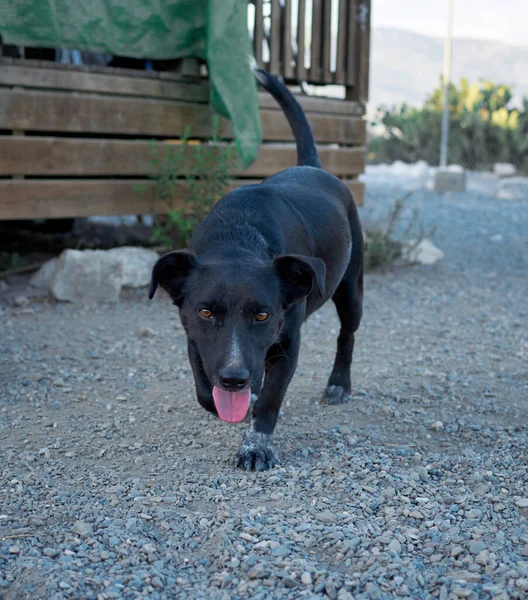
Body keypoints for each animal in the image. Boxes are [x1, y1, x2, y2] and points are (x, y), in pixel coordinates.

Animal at [148, 68, 364, 472]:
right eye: (205, 312)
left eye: (262, 315)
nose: (234, 378)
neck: (239, 237)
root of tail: (313, 166)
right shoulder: (195, 338)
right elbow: (205, 389)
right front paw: (234, 400)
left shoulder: (289, 341)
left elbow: (270, 400)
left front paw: (256, 446)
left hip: (350, 289)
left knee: (347, 334)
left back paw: (339, 383)